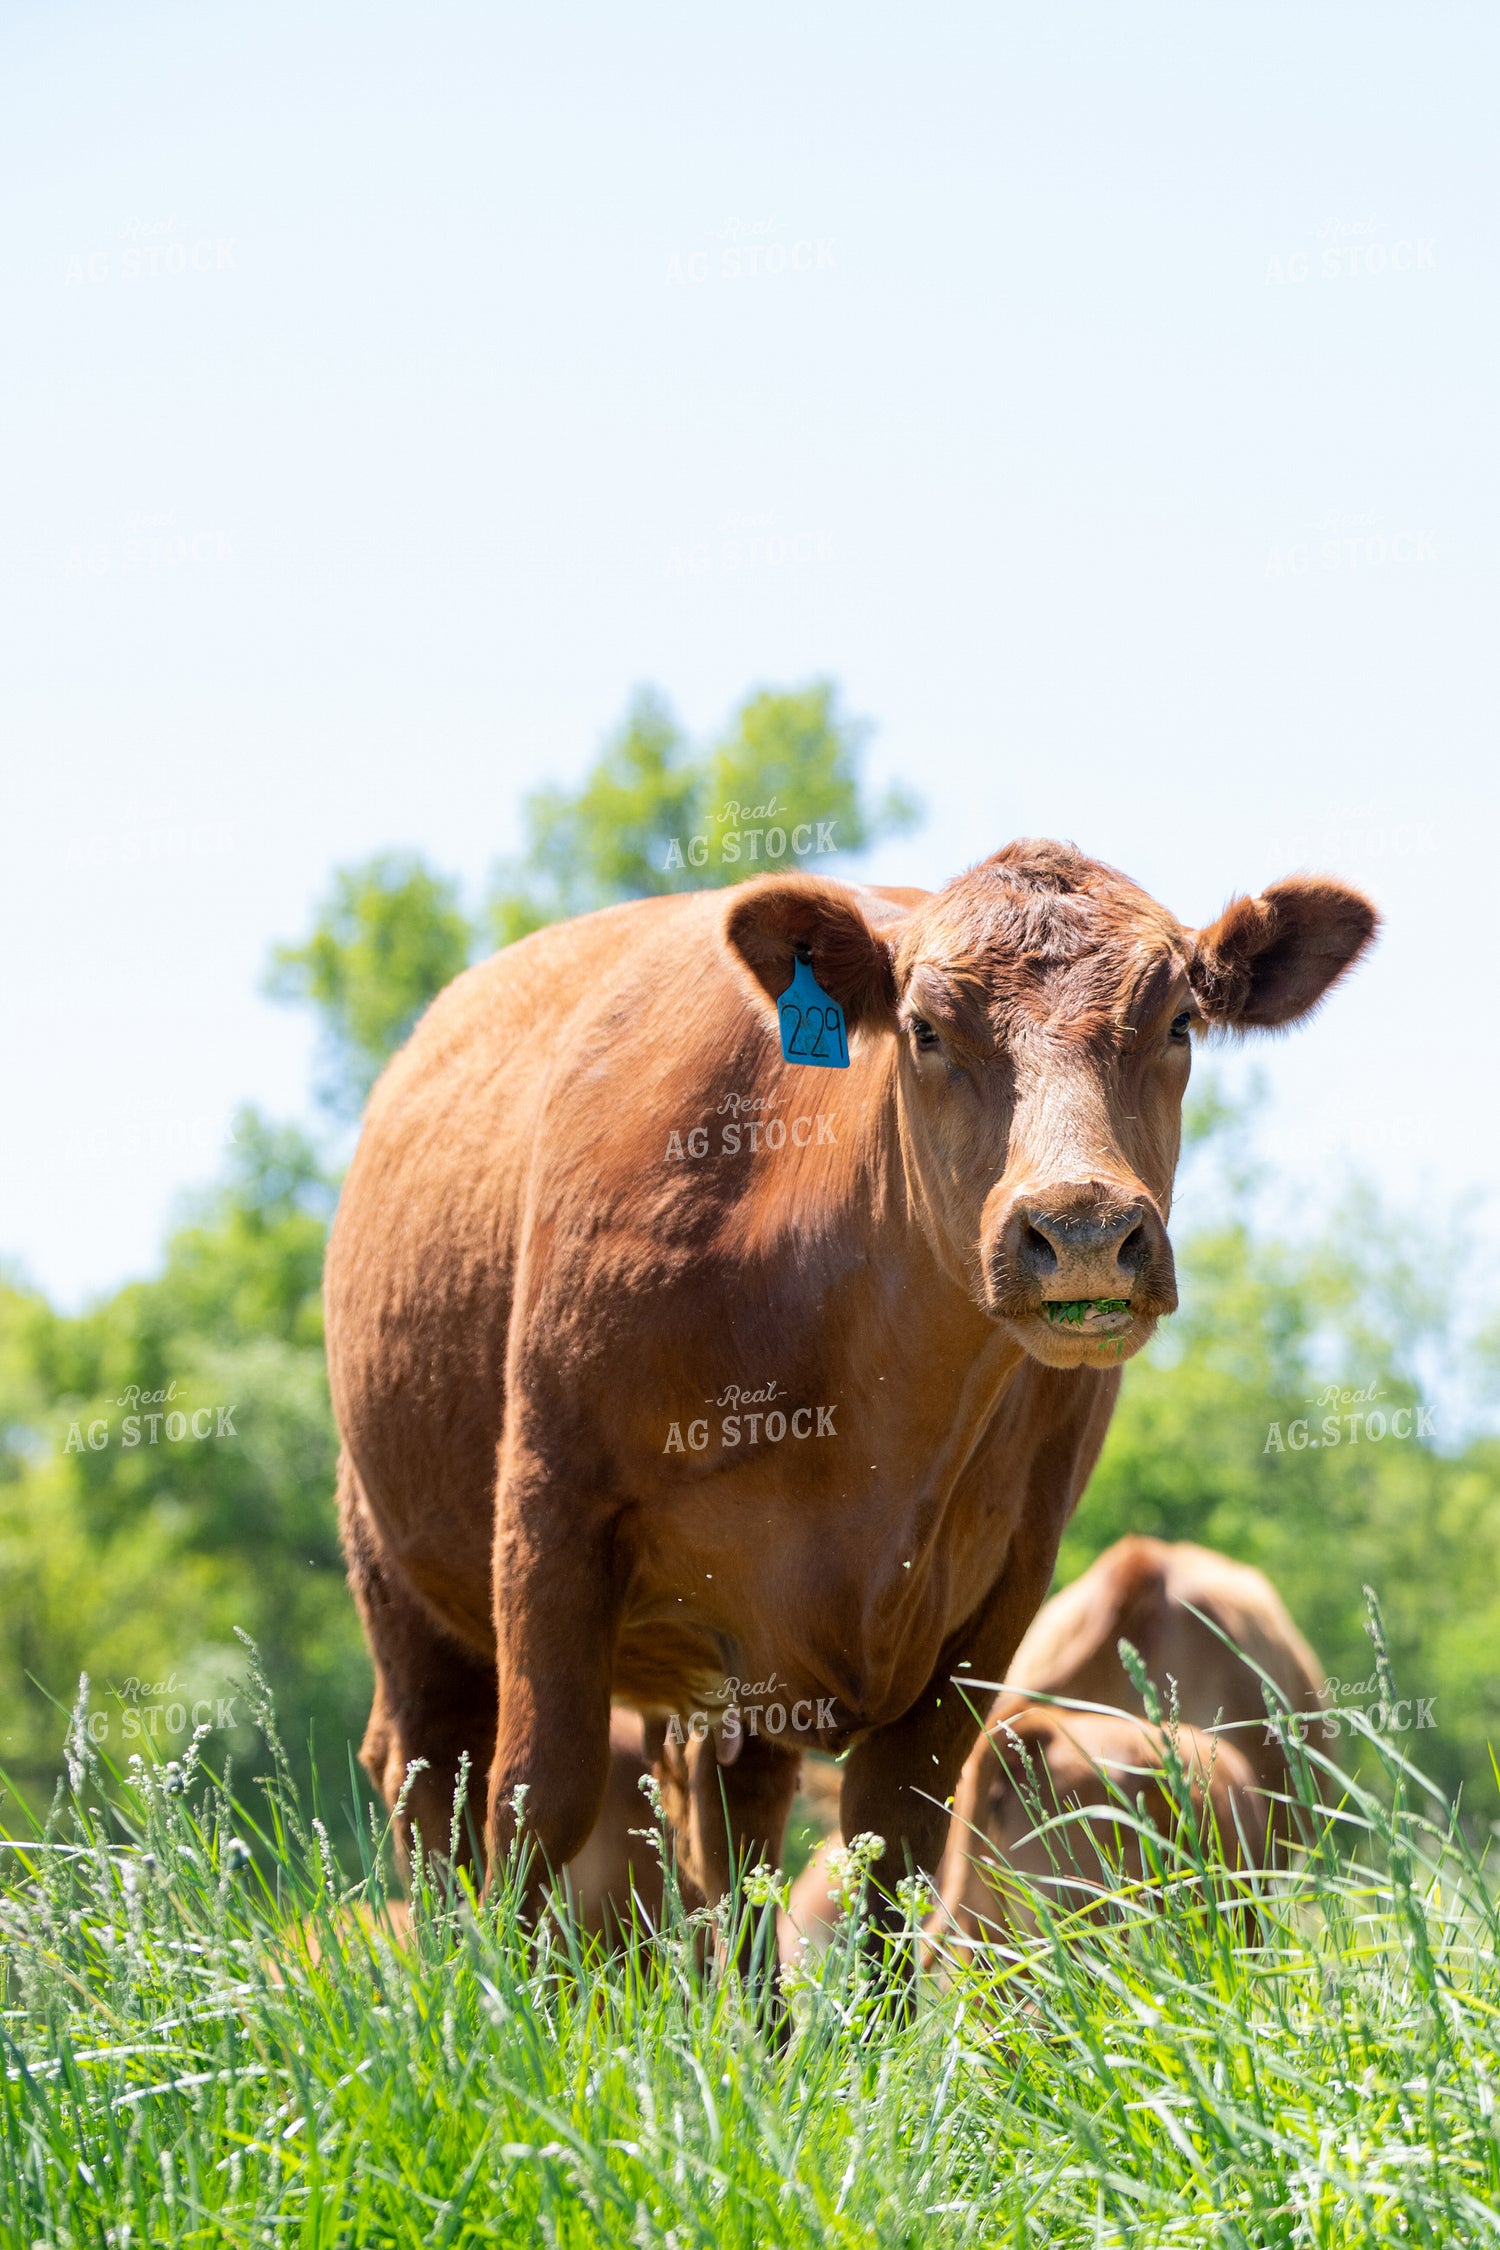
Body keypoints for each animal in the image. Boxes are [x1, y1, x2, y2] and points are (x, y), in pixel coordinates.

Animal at [324, 840, 1376, 1923]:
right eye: (924, 1029)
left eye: (1178, 1022)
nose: (1083, 1227)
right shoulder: (553, 1516)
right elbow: (537, 1804)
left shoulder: (999, 1587)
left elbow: (893, 1847)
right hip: (401, 1573)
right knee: (434, 1783)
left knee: (727, 1834)